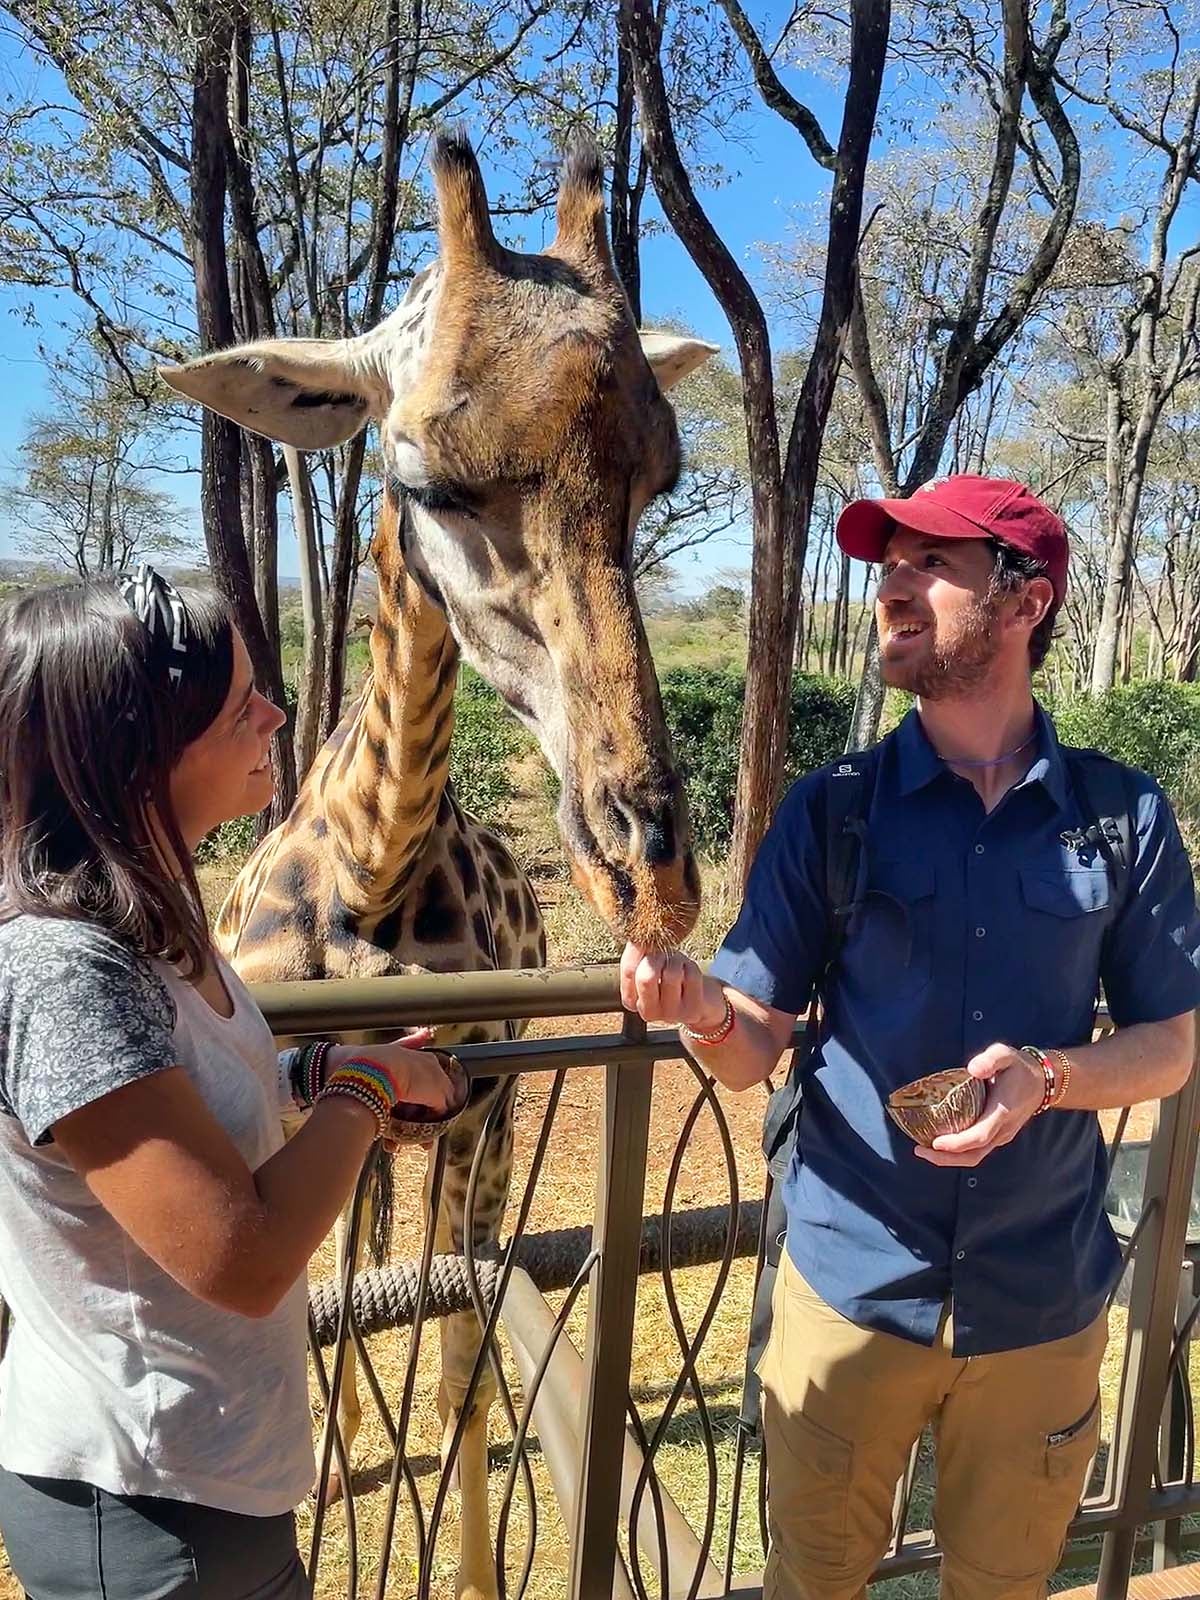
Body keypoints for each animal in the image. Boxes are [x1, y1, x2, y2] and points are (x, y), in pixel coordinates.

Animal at [164, 137, 720, 1600]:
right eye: (423, 481)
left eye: (658, 481)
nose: (653, 872)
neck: (371, 873)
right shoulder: (295, 1100)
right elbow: (323, 1313)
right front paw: (327, 1470)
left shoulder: (480, 1106)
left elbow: (465, 1346)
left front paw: (463, 1567)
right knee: (358, 1266)